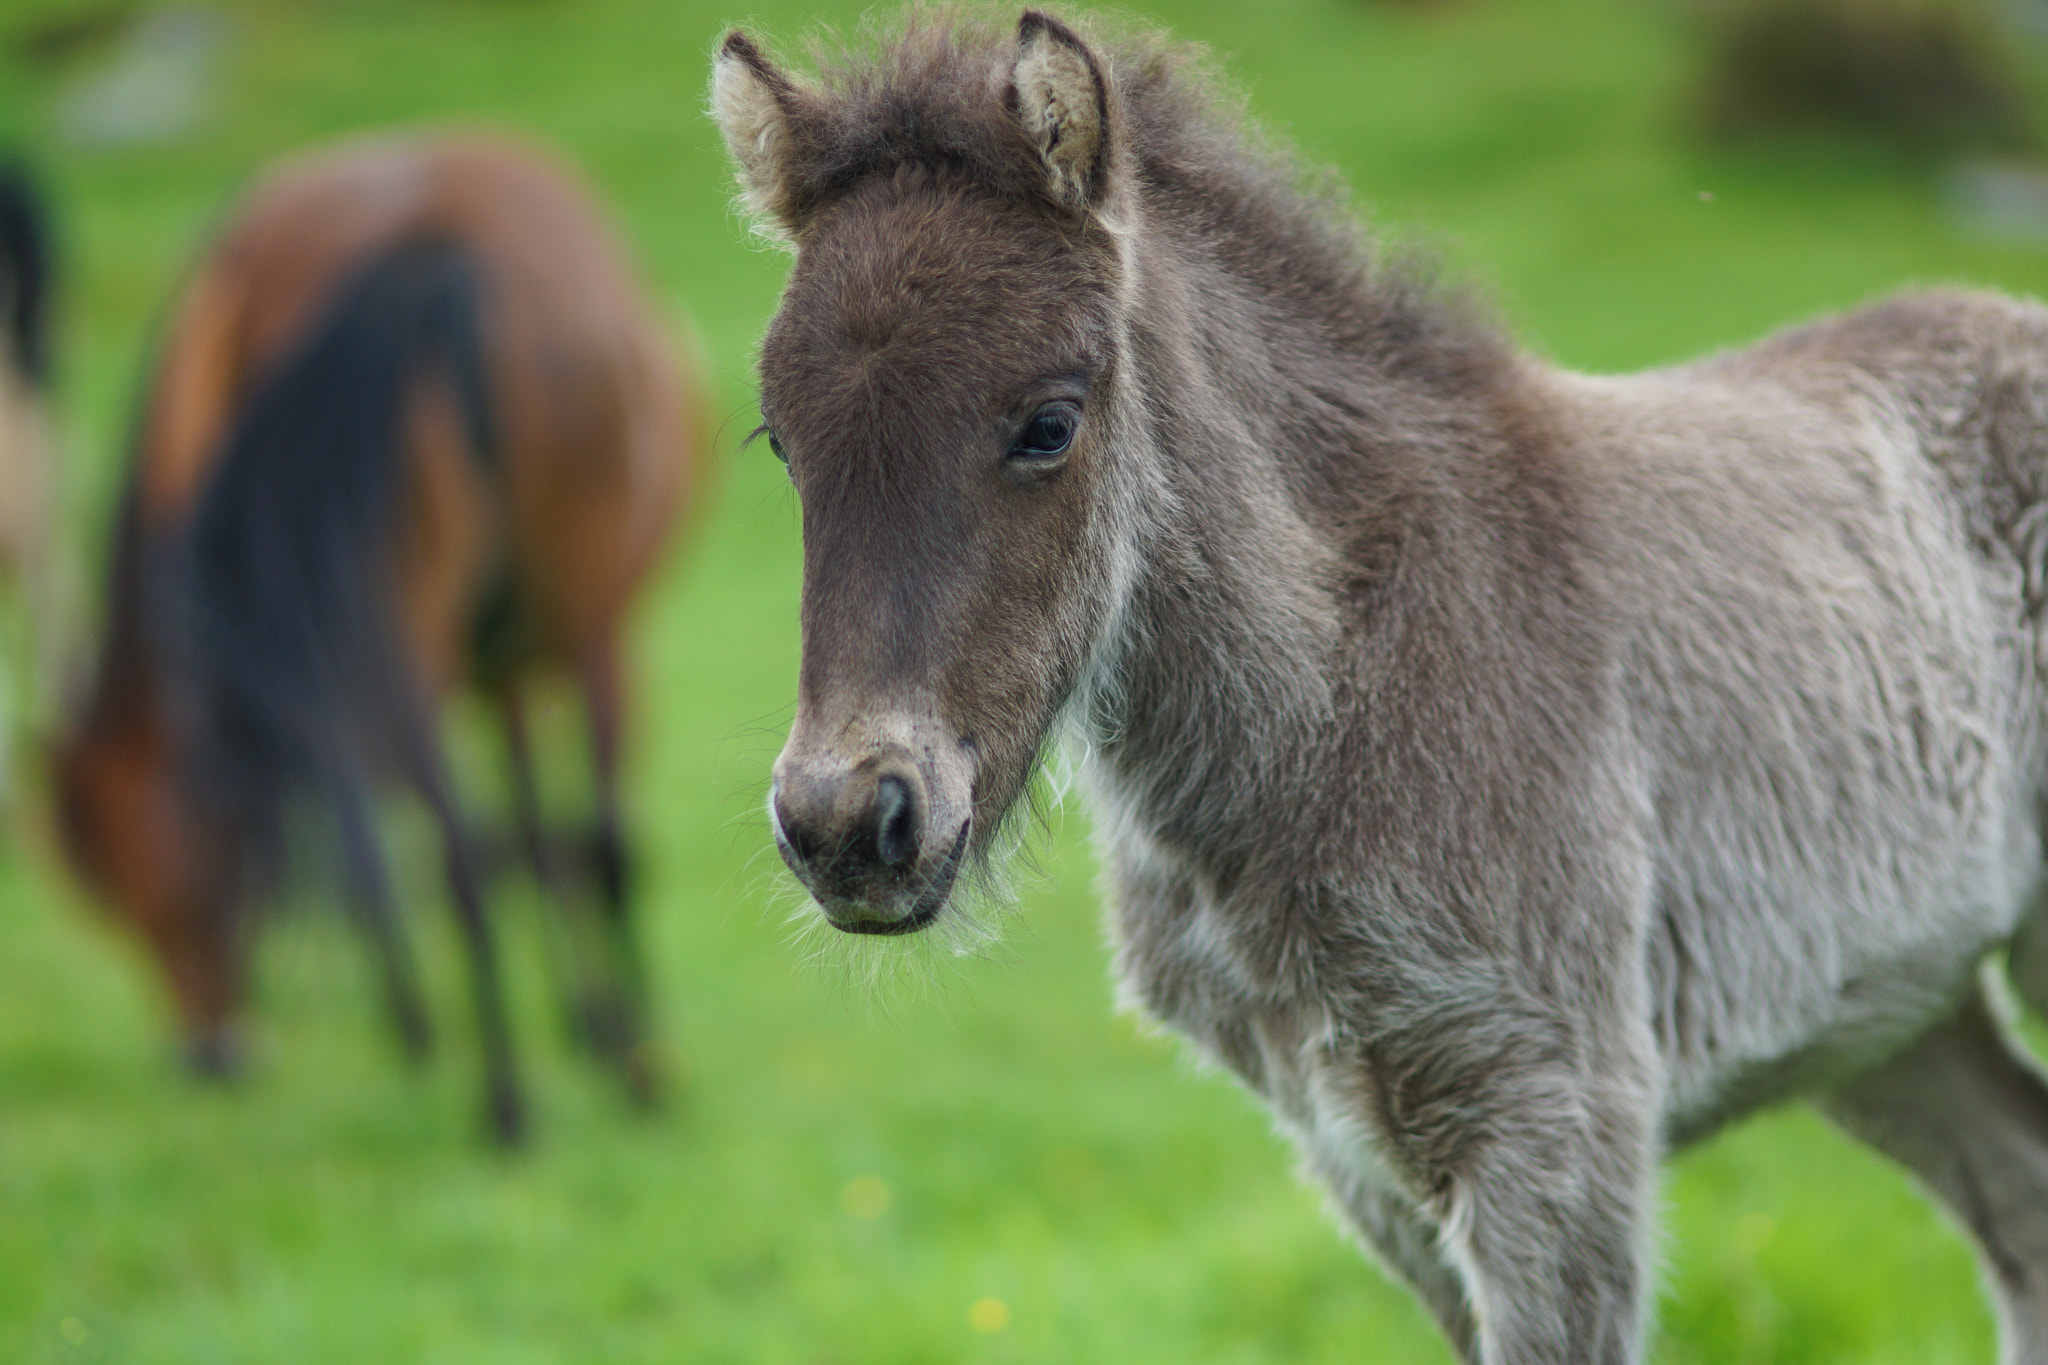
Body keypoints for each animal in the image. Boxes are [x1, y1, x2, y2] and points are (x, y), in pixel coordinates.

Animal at [56, 136, 712, 1146]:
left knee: (474, 847)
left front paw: (459, 1023)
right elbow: (533, 831)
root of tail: (424, 236)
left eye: (155, 889)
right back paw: (591, 1083)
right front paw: (583, 1025)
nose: (209, 1057)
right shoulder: (494, 664)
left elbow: (448, 835)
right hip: (563, 629)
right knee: (574, 843)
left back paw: (526, 1086)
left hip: (432, 629)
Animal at [733, 13, 2048, 1365]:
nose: (847, 823)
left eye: (1048, 424)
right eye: (779, 438)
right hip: (1893, 1017)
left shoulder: (1552, 1124)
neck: (1337, 698)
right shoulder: (1358, 1154)